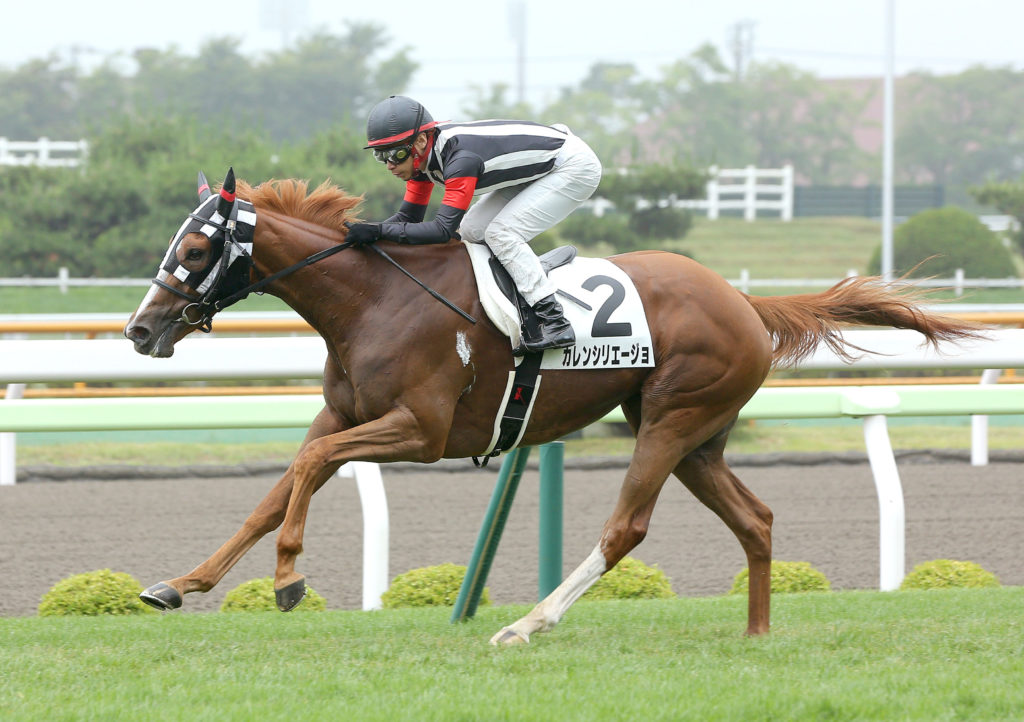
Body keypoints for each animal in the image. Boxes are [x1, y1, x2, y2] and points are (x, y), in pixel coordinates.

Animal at [123, 168, 978, 643]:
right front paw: (179, 583)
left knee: (627, 528)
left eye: (194, 250)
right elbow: (276, 489)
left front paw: (288, 580)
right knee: (756, 520)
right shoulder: (346, 416)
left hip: (672, 418)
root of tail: (744, 301)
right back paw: (758, 633)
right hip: (696, 436)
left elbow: (304, 470)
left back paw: (526, 624)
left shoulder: (420, 430)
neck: (372, 300)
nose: (138, 329)